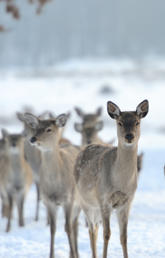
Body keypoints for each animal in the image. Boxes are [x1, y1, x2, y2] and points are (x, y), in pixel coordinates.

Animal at [24, 112, 81, 258]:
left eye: (49, 129)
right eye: (35, 128)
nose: (33, 139)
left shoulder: (69, 199)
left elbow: (67, 227)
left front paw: (73, 253)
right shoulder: (48, 201)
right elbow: (52, 228)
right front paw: (51, 255)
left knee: (74, 225)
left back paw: (75, 253)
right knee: (73, 224)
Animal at [74, 100, 149, 258]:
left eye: (137, 122)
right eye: (119, 122)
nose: (129, 136)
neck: (120, 183)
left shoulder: (127, 202)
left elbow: (124, 236)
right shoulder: (104, 199)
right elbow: (107, 234)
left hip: (95, 207)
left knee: (95, 228)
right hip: (85, 201)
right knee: (91, 230)